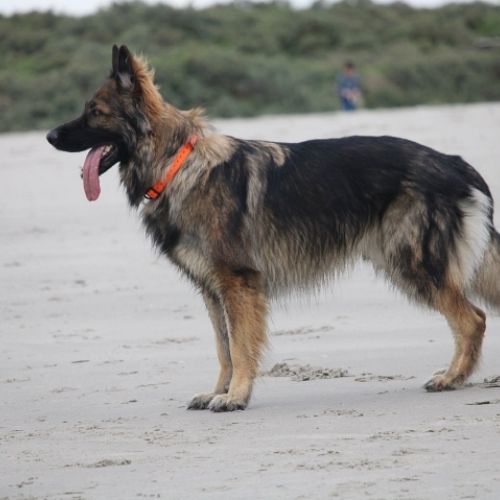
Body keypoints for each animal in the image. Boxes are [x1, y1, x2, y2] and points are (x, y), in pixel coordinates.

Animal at [47, 45, 500, 412]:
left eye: (95, 112)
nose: (50, 135)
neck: (177, 163)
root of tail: (453, 161)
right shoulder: (213, 290)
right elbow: (223, 348)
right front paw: (220, 391)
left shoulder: (238, 284)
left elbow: (241, 346)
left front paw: (236, 396)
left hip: (411, 264)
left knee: (472, 319)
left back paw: (452, 377)